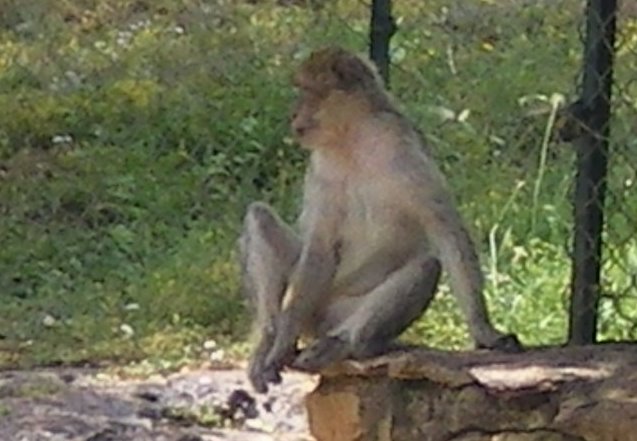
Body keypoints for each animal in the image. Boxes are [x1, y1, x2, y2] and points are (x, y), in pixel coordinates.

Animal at [238, 47, 521, 394]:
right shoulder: (321, 161)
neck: (353, 137)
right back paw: (270, 337)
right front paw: (279, 344)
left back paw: (345, 343)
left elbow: (445, 229)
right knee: (259, 217)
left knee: (427, 265)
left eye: (307, 92)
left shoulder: (400, 144)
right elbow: (319, 246)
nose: (292, 114)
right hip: (316, 306)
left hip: (340, 313)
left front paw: (484, 331)